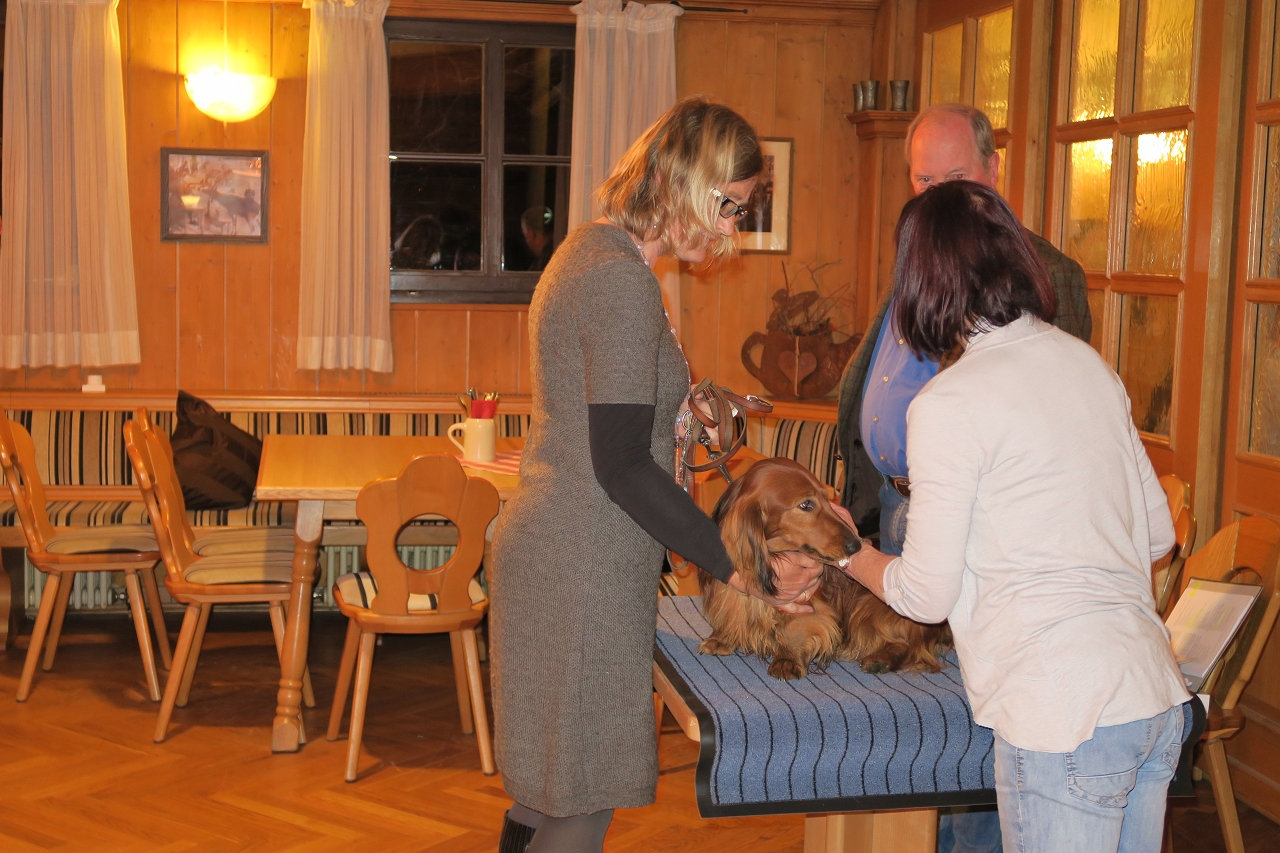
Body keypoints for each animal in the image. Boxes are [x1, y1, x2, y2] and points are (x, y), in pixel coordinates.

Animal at [697, 458, 952, 680]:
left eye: (827, 498)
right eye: (806, 504)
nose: (856, 545)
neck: (772, 556)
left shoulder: (809, 600)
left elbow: (794, 628)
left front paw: (787, 659)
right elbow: (735, 610)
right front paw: (724, 638)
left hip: (866, 607)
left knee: (911, 646)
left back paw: (882, 659)